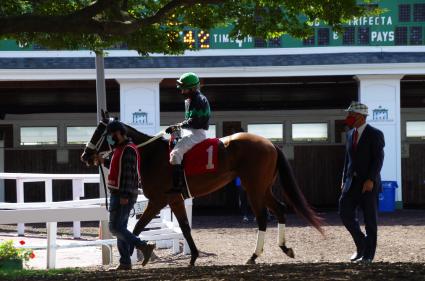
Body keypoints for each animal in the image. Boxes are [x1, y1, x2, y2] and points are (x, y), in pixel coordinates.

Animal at [81, 111, 322, 264]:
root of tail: (270, 143)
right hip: (262, 188)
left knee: (262, 218)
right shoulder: (174, 199)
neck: (151, 153)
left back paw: (254, 256)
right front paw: (193, 257)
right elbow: (184, 227)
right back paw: (284, 248)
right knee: (279, 209)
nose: (86, 155)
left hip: (253, 189)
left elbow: (137, 227)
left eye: (99, 131)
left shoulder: (159, 200)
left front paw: (138, 254)